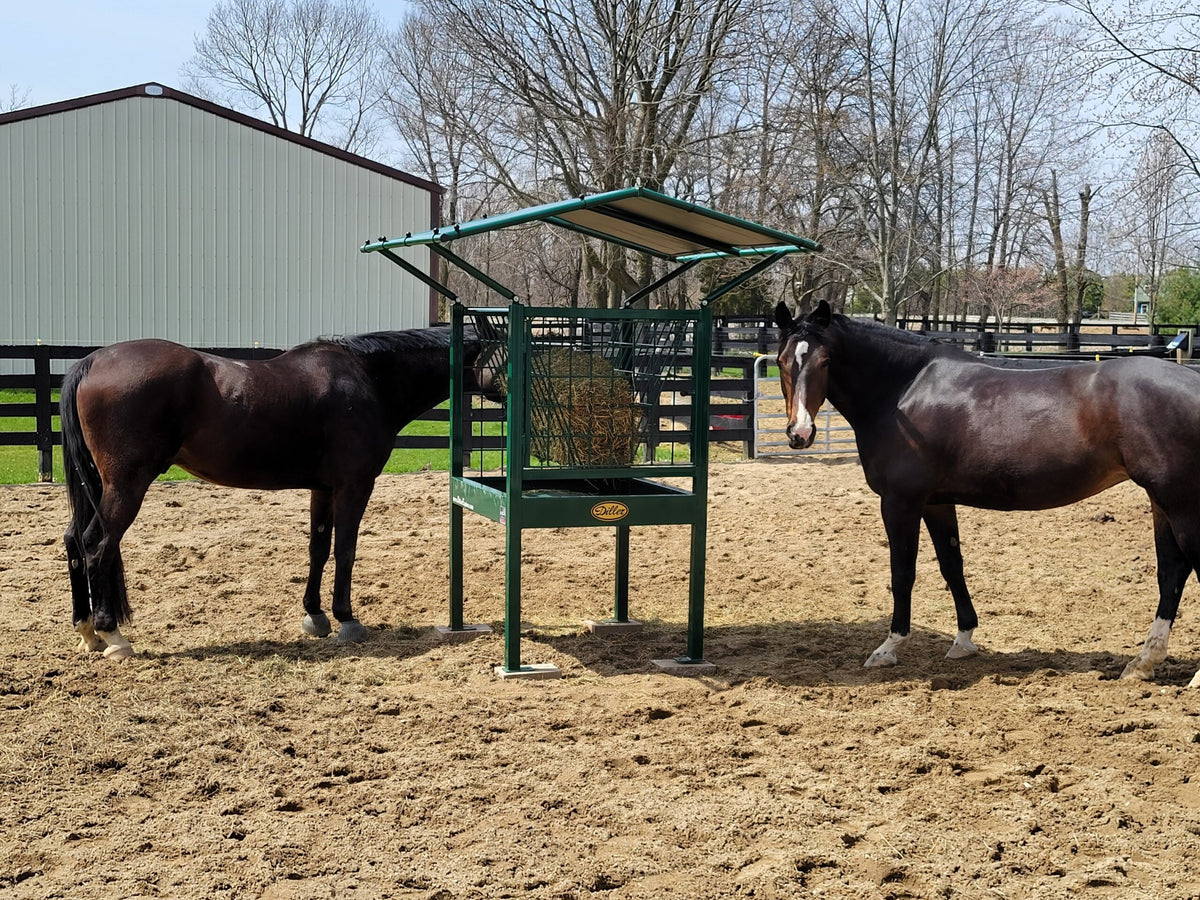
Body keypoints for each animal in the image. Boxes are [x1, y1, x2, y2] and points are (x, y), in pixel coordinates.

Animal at [60, 327, 482, 659]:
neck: (368, 379)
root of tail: (92, 361)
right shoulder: (354, 485)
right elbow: (345, 550)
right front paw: (347, 619)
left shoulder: (322, 489)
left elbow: (319, 548)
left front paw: (315, 615)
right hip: (126, 486)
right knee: (97, 544)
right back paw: (112, 635)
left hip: (96, 485)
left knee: (73, 541)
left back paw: (87, 630)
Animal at [775, 299, 1200, 687]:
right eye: (781, 361)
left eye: (825, 361)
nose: (800, 433)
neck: (904, 390)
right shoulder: (937, 502)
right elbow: (952, 565)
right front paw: (964, 640)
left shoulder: (900, 502)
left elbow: (903, 572)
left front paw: (888, 648)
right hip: (1161, 502)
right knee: (1172, 572)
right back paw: (1142, 663)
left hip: (1181, 504)